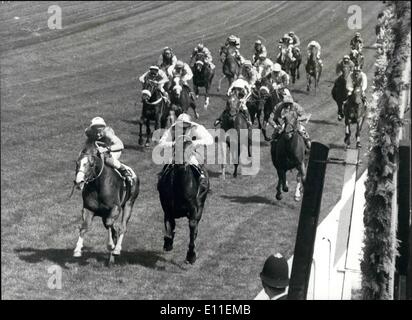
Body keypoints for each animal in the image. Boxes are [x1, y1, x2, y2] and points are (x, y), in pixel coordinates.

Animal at [158, 134, 209, 264]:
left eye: (190, 148)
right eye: (175, 147)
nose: (180, 162)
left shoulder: (194, 209)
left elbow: (192, 227)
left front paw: (191, 255)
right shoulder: (167, 207)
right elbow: (169, 225)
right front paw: (168, 242)